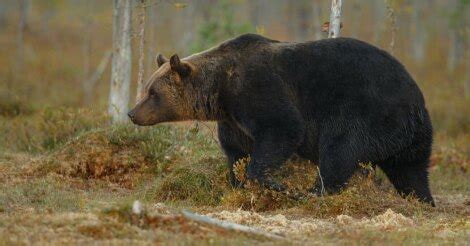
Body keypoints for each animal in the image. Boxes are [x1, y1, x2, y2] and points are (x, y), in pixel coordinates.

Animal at [127, 33, 434, 206]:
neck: (220, 90)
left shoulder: (259, 89)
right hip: (410, 136)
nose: (132, 113)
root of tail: (415, 100)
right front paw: (237, 183)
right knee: (411, 171)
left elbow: (282, 130)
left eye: (152, 92)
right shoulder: (233, 120)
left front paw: (275, 184)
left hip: (364, 111)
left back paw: (313, 192)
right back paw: (423, 201)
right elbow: (236, 152)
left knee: (339, 151)